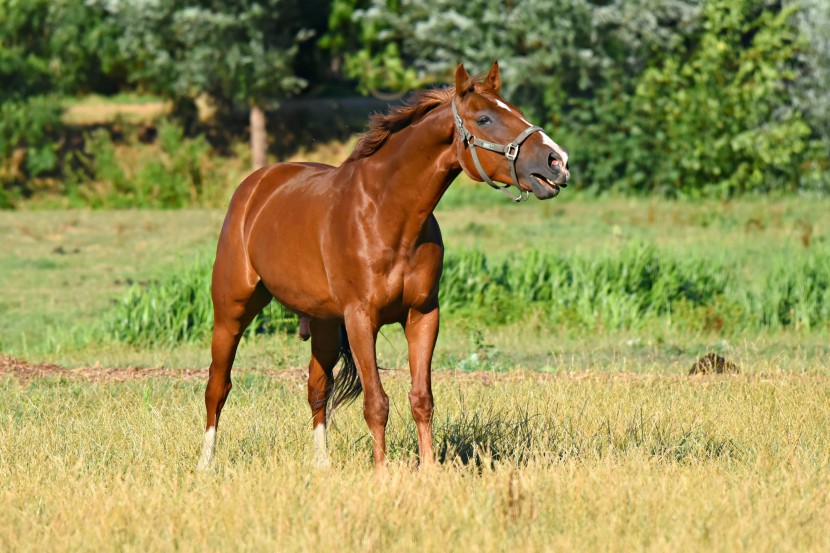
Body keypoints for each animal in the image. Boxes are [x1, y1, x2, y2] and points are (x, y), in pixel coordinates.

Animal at [197, 63, 572, 470]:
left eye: (517, 111)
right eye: (485, 118)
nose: (557, 161)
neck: (387, 214)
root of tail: (256, 185)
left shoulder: (423, 314)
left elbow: (421, 399)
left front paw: (429, 470)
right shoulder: (361, 318)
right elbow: (376, 403)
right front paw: (382, 473)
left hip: (324, 324)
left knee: (317, 388)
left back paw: (322, 465)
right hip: (232, 309)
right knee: (218, 385)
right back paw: (205, 464)